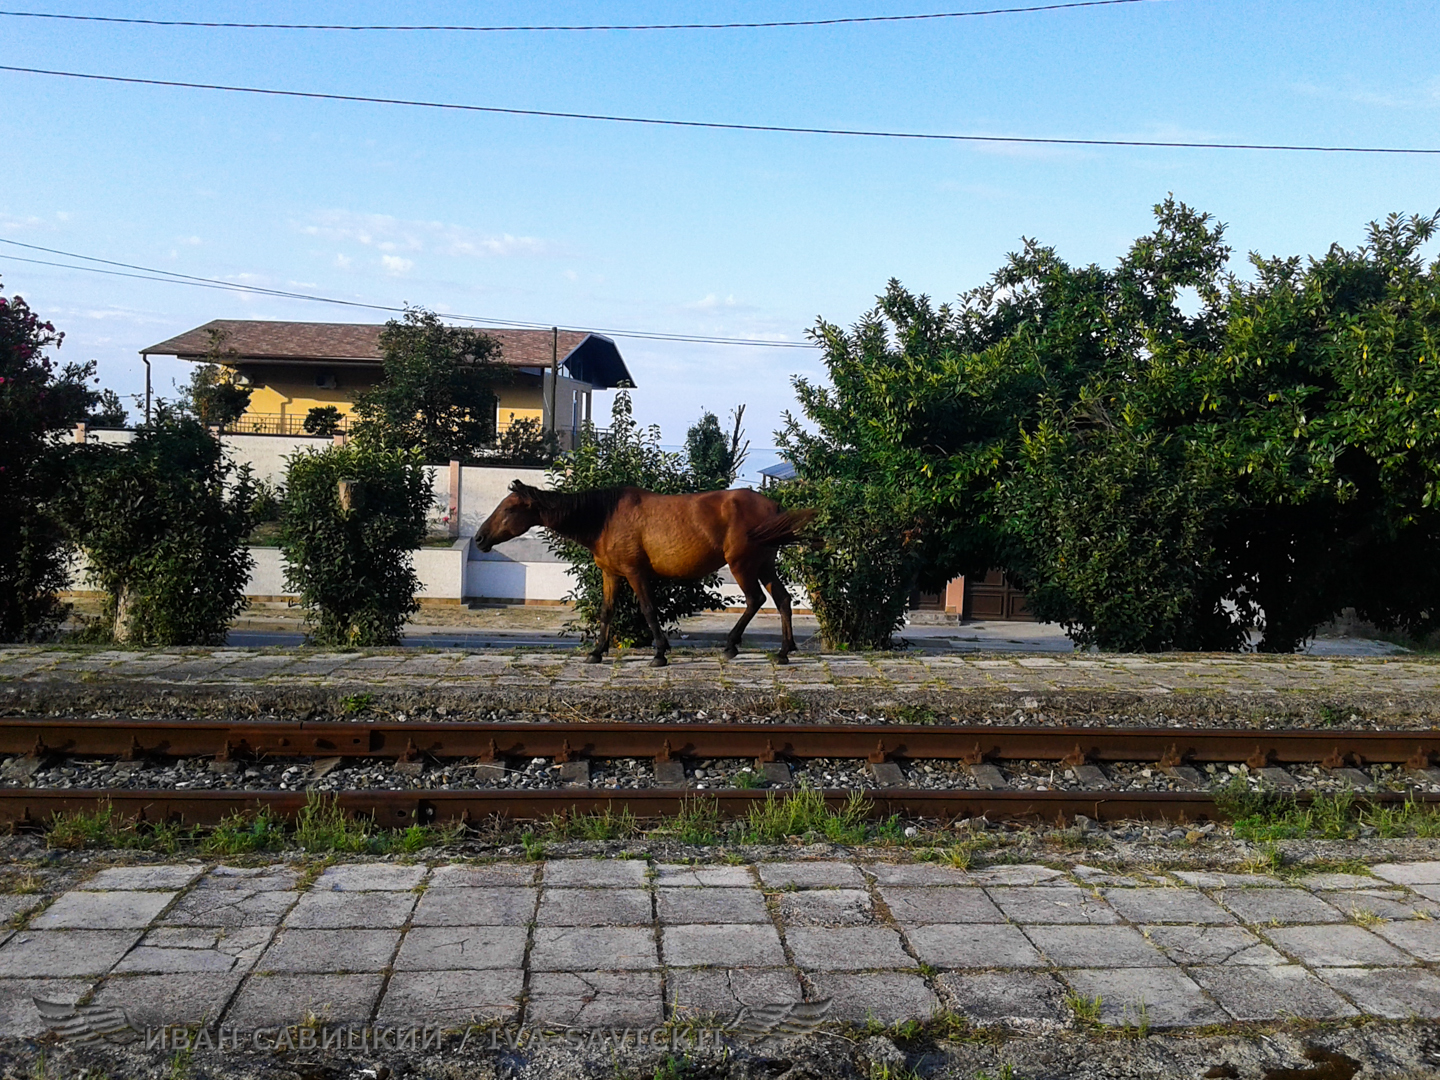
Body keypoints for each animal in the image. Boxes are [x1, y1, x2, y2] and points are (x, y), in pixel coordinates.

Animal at [478, 483, 817, 668]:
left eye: (508, 509)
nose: (481, 538)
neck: (605, 518)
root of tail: (773, 506)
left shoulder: (635, 573)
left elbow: (649, 610)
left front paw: (660, 653)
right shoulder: (611, 574)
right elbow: (607, 612)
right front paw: (597, 652)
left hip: (743, 565)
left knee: (755, 600)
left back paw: (732, 645)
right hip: (764, 566)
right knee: (783, 600)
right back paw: (784, 651)